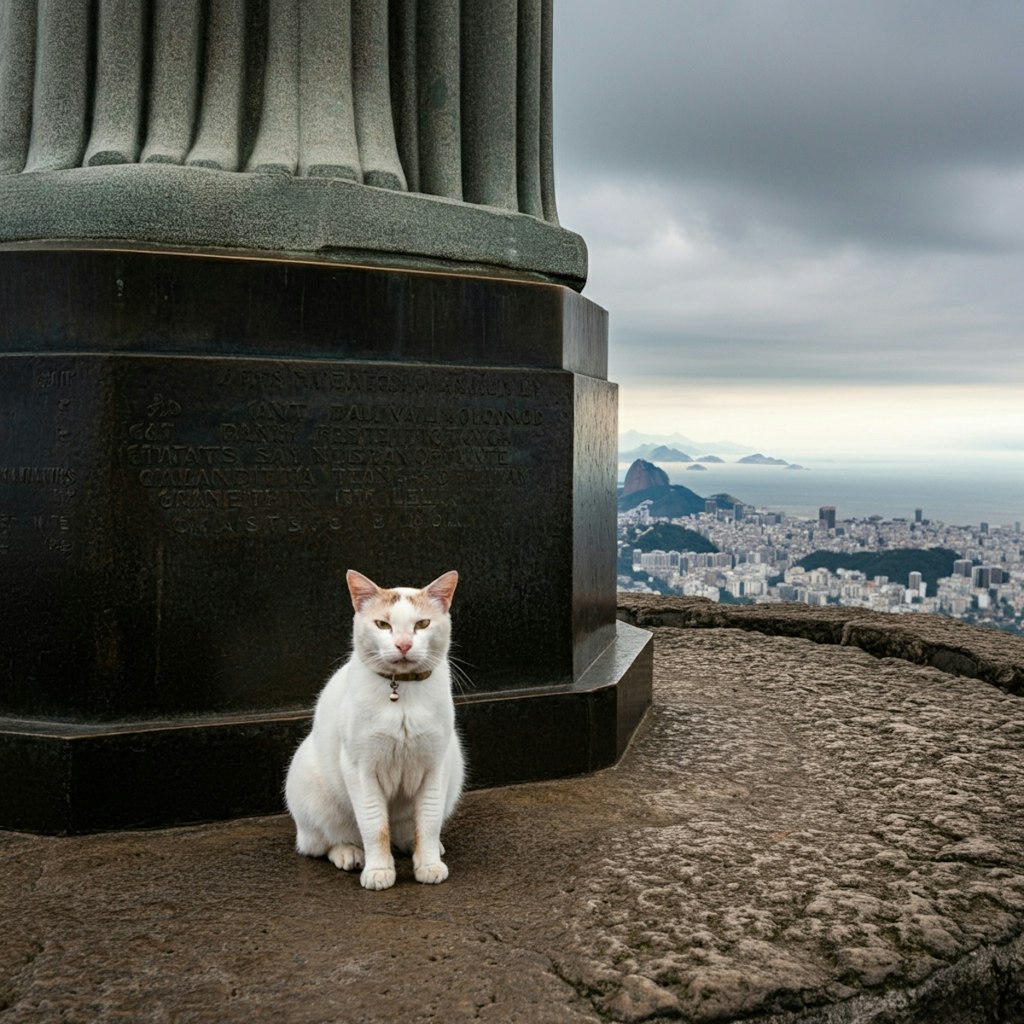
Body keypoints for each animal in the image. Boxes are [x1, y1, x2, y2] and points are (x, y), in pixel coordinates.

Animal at [286, 569, 466, 888]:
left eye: (422, 624)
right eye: (383, 624)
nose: (404, 645)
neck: (401, 692)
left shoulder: (437, 766)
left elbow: (428, 822)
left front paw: (429, 863)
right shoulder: (361, 770)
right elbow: (374, 826)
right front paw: (379, 870)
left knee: (409, 832)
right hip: (308, 784)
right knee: (320, 843)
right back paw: (349, 853)